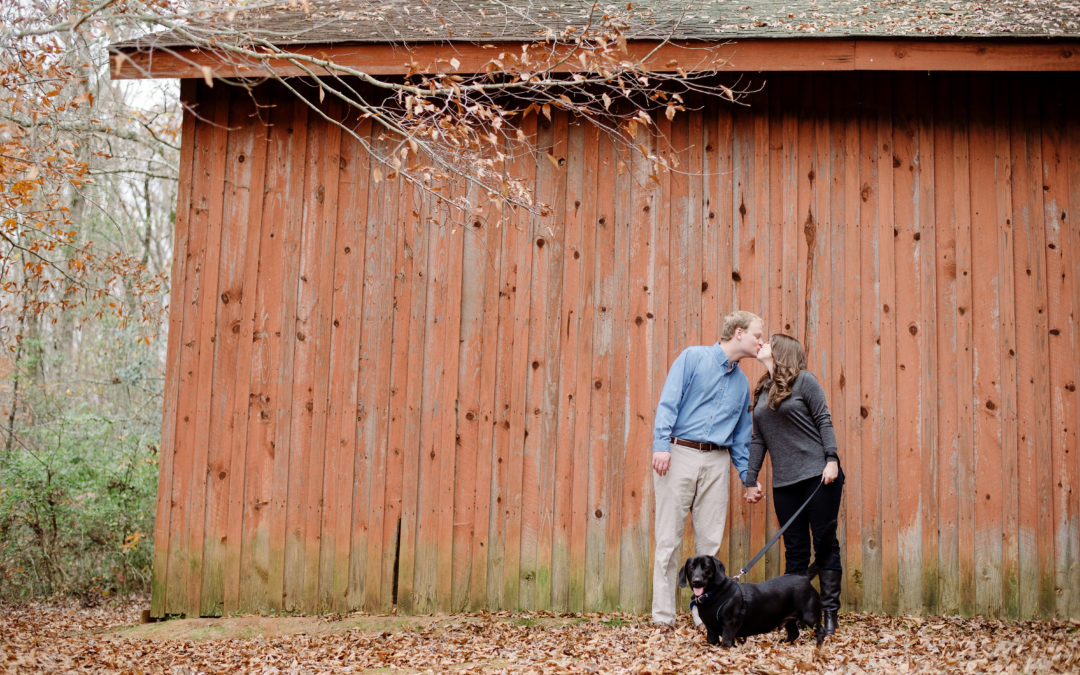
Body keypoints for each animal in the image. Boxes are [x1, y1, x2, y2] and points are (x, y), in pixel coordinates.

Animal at [678, 552, 820, 648]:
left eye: (706, 567)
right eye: (691, 568)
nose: (696, 581)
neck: (714, 594)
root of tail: (804, 578)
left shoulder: (730, 625)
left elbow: (726, 642)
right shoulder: (711, 629)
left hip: (810, 616)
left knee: (821, 629)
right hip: (789, 620)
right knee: (794, 634)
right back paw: (784, 644)